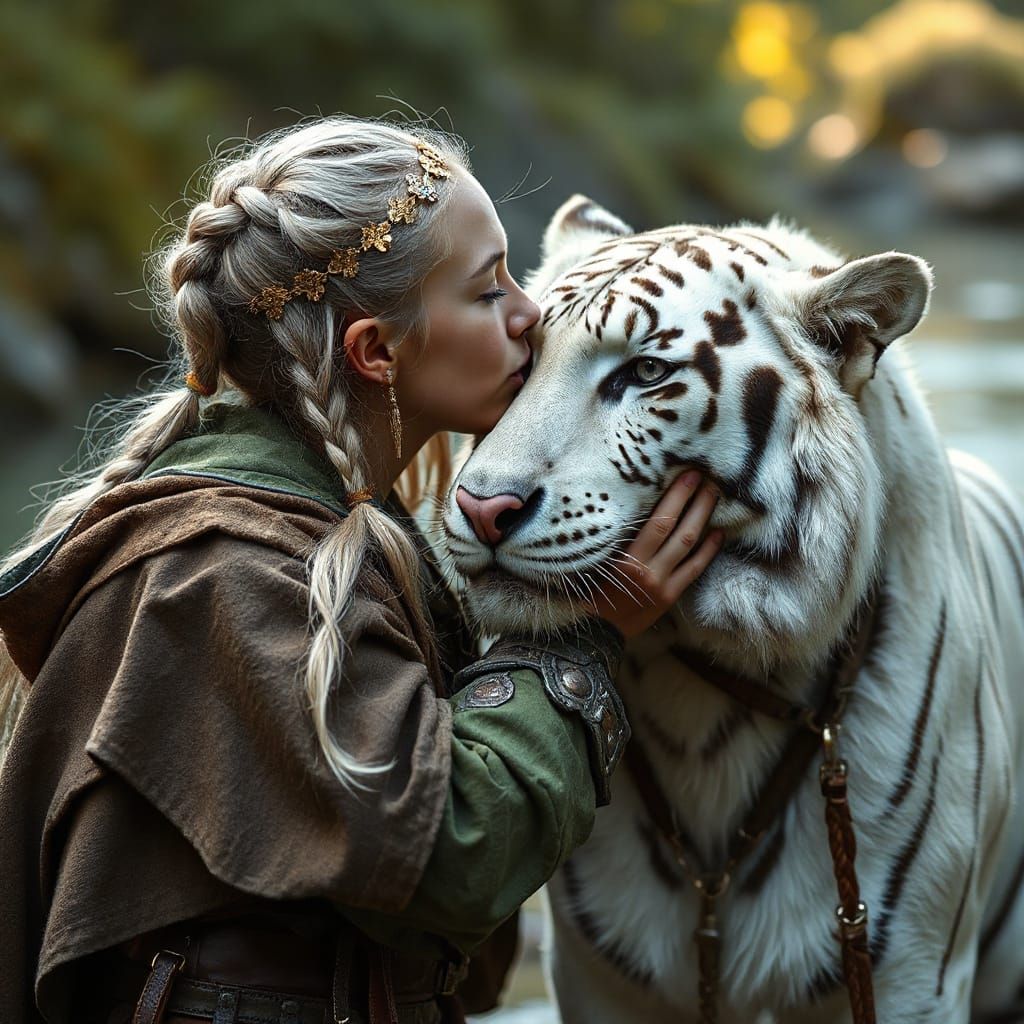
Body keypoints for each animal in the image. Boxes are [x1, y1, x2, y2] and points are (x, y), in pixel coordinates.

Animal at [442, 195, 1024, 1023]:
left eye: (645, 372)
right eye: (520, 364)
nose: (482, 507)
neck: (702, 698)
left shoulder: (909, 974)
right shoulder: (602, 976)